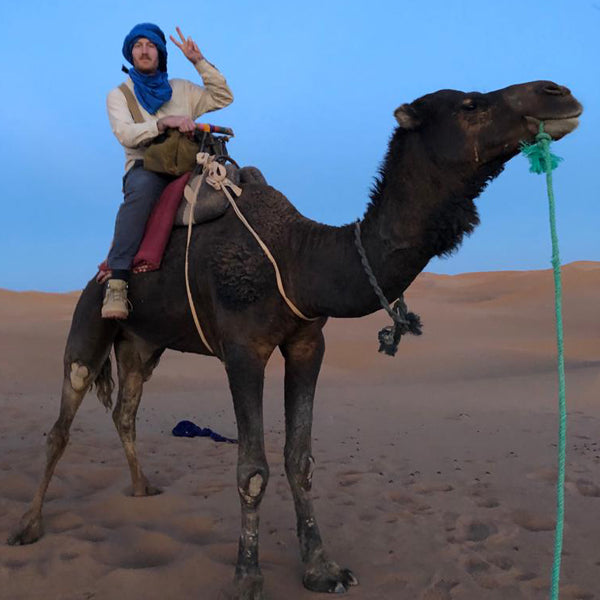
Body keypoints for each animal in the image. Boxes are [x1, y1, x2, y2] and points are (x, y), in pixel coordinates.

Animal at [8, 81, 580, 600]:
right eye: (470, 104)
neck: (300, 259)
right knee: (62, 422)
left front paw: (323, 569)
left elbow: (300, 460)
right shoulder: (242, 351)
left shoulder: (308, 343)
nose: (559, 93)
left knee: (125, 410)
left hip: (144, 345)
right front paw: (246, 578)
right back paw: (28, 526)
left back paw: (142, 487)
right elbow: (252, 469)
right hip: (90, 321)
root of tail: (100, 274)